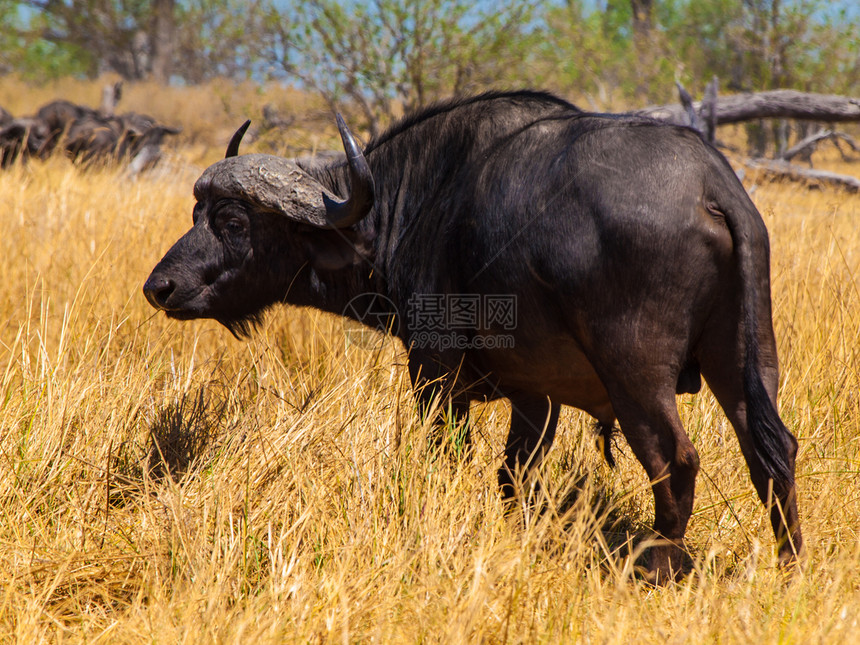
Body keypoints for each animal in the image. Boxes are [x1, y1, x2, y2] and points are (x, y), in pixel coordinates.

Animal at [144, 92, 804, 584]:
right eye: (196, 214)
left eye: (233, 222)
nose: (160, 286)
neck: (417, 202)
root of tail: (713, 186)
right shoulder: (536, 397)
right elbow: (513, 476)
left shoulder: (434, 368)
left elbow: (445, 453)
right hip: (744, 361)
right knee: (771, 451)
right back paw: (789, 563)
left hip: (636, 374)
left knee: (675, 459)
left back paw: (658, 564)